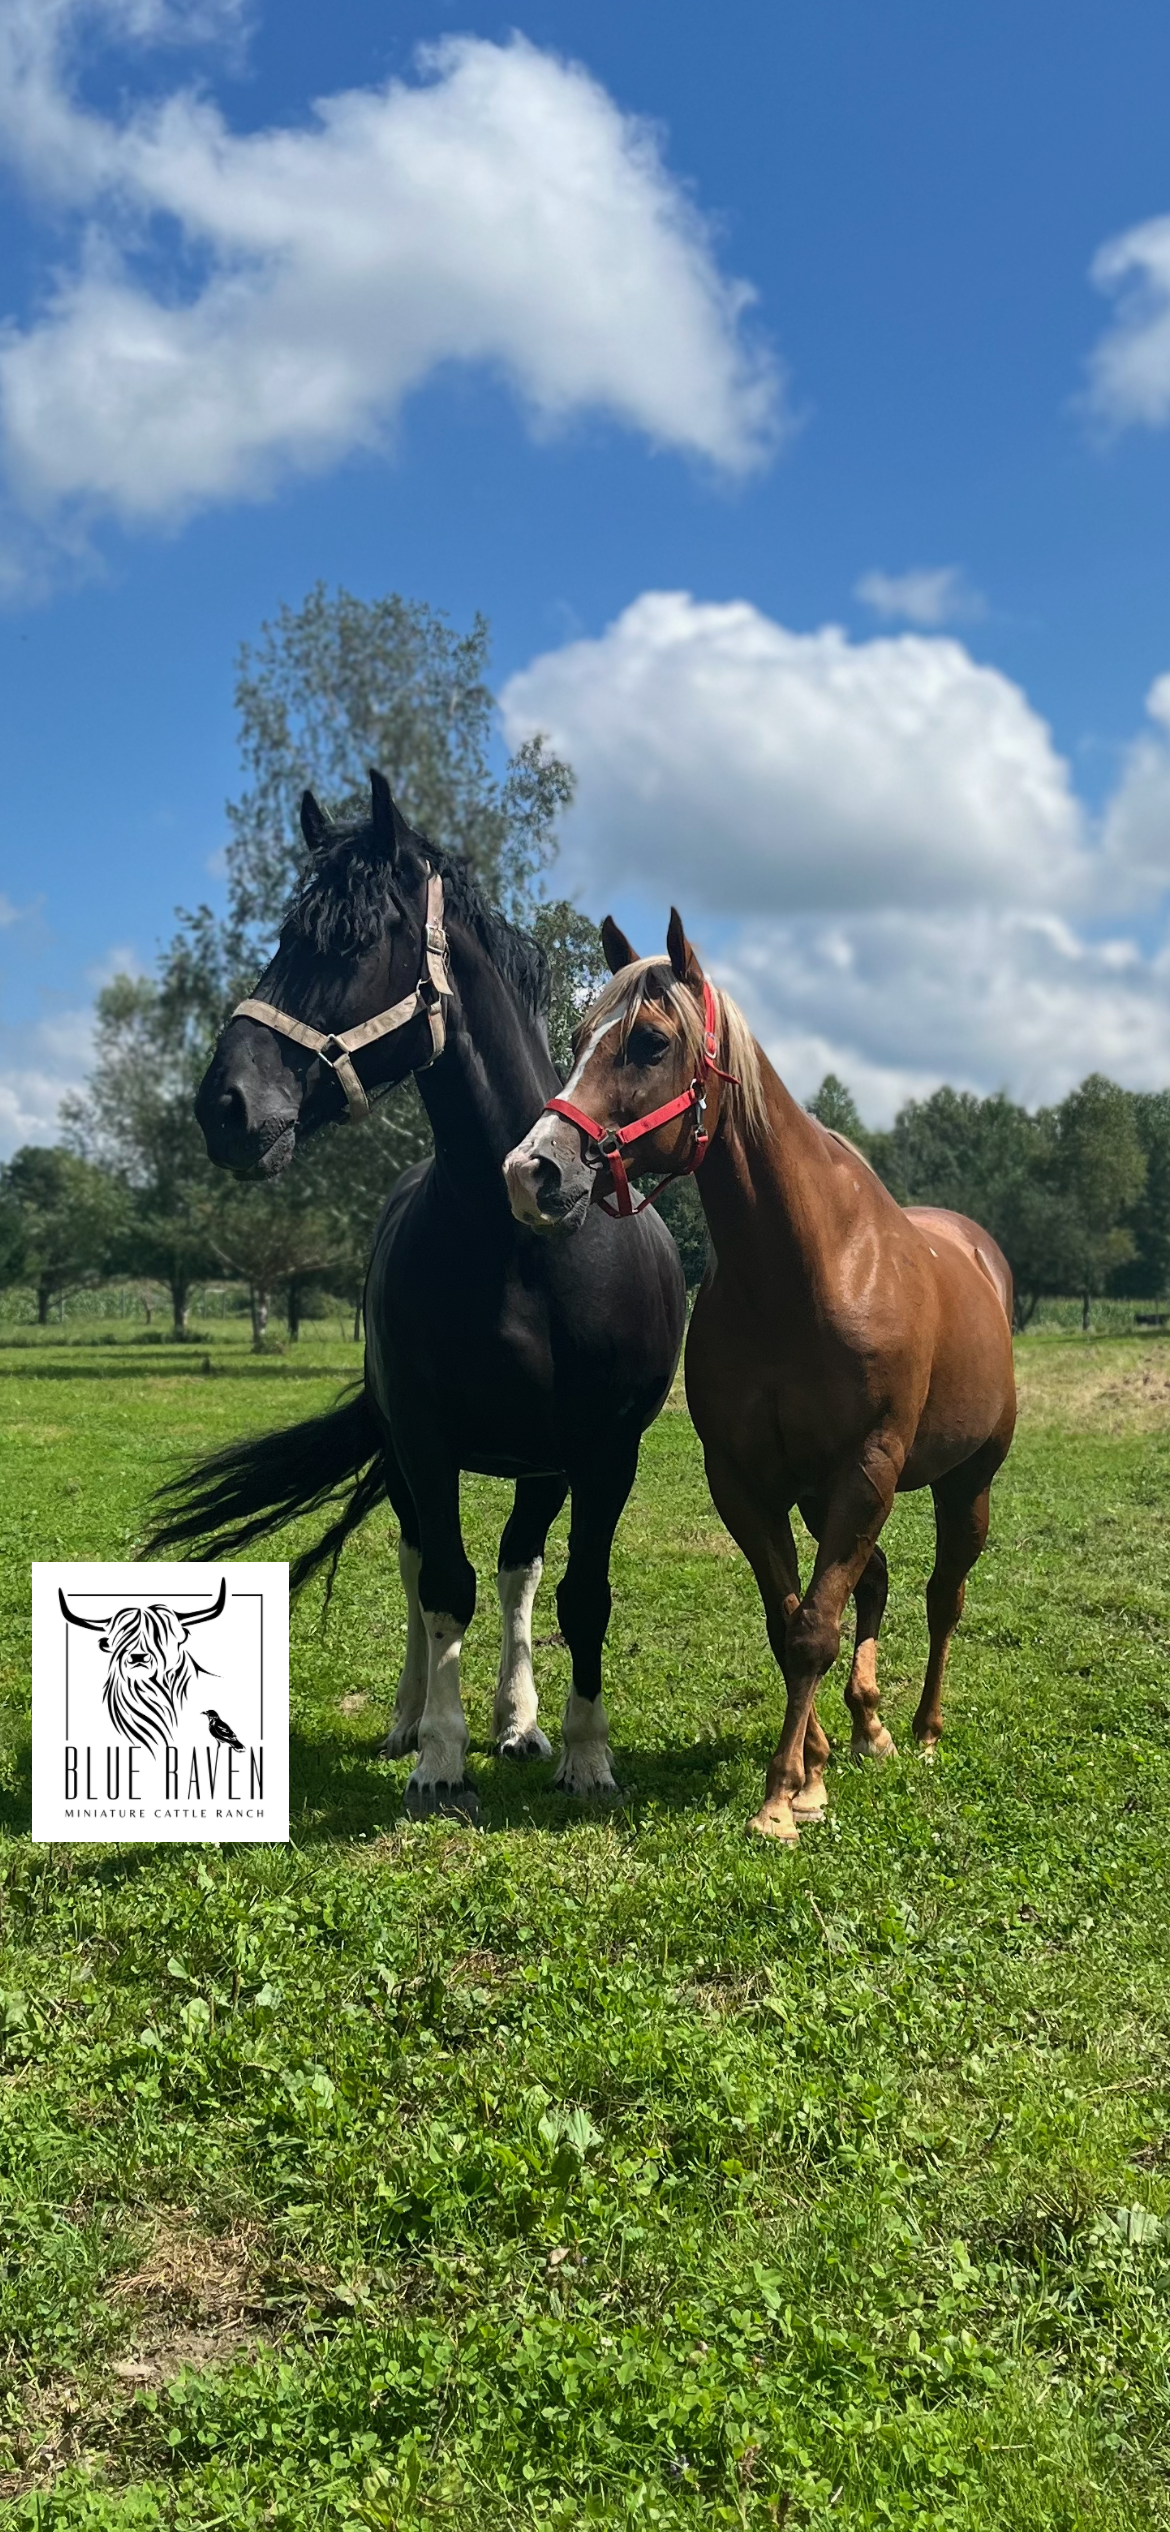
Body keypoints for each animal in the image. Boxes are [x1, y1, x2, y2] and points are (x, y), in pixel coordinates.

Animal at [147, 773, 685, 1820]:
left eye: (350, 939)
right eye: (284, 932)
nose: (223, 1107)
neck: (525, 1240)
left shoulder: (606, 1452)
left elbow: (579, 1592)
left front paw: (583, 1755)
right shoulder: (426, 1441)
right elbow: (442, 1585)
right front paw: (439, 1756)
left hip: (540, 1466)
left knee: (520, 1566)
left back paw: (518, 1720)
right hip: (405, 1454)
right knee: (414, 1564)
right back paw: (409, 1717)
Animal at [504, 909, 1016, 1844]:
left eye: (650, 1041)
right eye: (578, 1037)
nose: (533, 1172)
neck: (807, 1269)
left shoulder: (866, 1469)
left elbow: (814, 1626)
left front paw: (781, 1797)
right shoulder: (748, 1481)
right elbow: (790, 1622)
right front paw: (813, 1770)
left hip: (967, 1482)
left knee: (943, 1595)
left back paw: (925, 1730)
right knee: (879, 1583)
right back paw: (871, 1727)